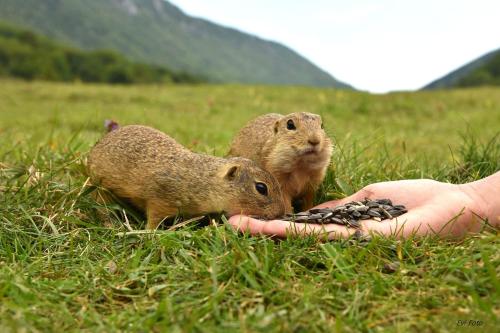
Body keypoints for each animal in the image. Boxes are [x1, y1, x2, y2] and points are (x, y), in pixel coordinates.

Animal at [88, 124, 288, 228]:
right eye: (261, 188)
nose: (281, 213)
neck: (203, 180)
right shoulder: (159, 199)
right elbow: (153, 217)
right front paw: (151, 233)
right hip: (100, 188)